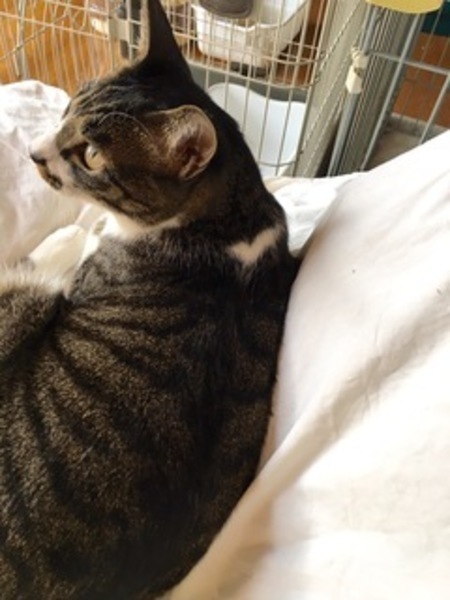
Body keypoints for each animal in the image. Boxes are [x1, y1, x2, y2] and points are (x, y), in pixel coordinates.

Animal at [0, 0, 299, 598]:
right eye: (68, 106)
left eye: (91, 154)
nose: (33, 154)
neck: (226, 223)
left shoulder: (68, 281)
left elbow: (64, 249)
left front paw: (66, 238)